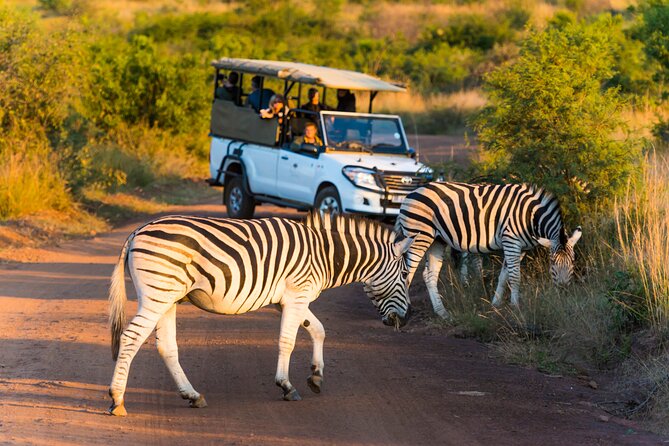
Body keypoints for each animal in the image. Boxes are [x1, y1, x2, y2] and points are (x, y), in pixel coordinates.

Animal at [108, 211, 412, 416]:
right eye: (404, 275)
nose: (407, 318)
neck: (325, 255)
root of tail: (138, 231)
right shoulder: (296, 295)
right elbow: (288, 341)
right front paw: (286, 386)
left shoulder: (292, 300)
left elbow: (318, 330)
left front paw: (316, 376)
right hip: (157, 294)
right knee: (131, 338)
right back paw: (117, 400)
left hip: (168, 298)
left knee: (166, 347)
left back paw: (192, 395)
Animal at [396, 181, 580, 318]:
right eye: (552, 263)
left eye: (573, 262)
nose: (564, 291)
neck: (530, 217)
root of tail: (411, 193)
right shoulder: (511, 240)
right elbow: (515, 277)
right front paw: (515, 307)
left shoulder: (520, 248)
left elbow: (504, 276)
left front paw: (495, 304)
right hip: (419, 236)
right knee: (406, 273)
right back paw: (404, 311)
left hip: (436, 240)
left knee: (429, 275)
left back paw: (442, 313)